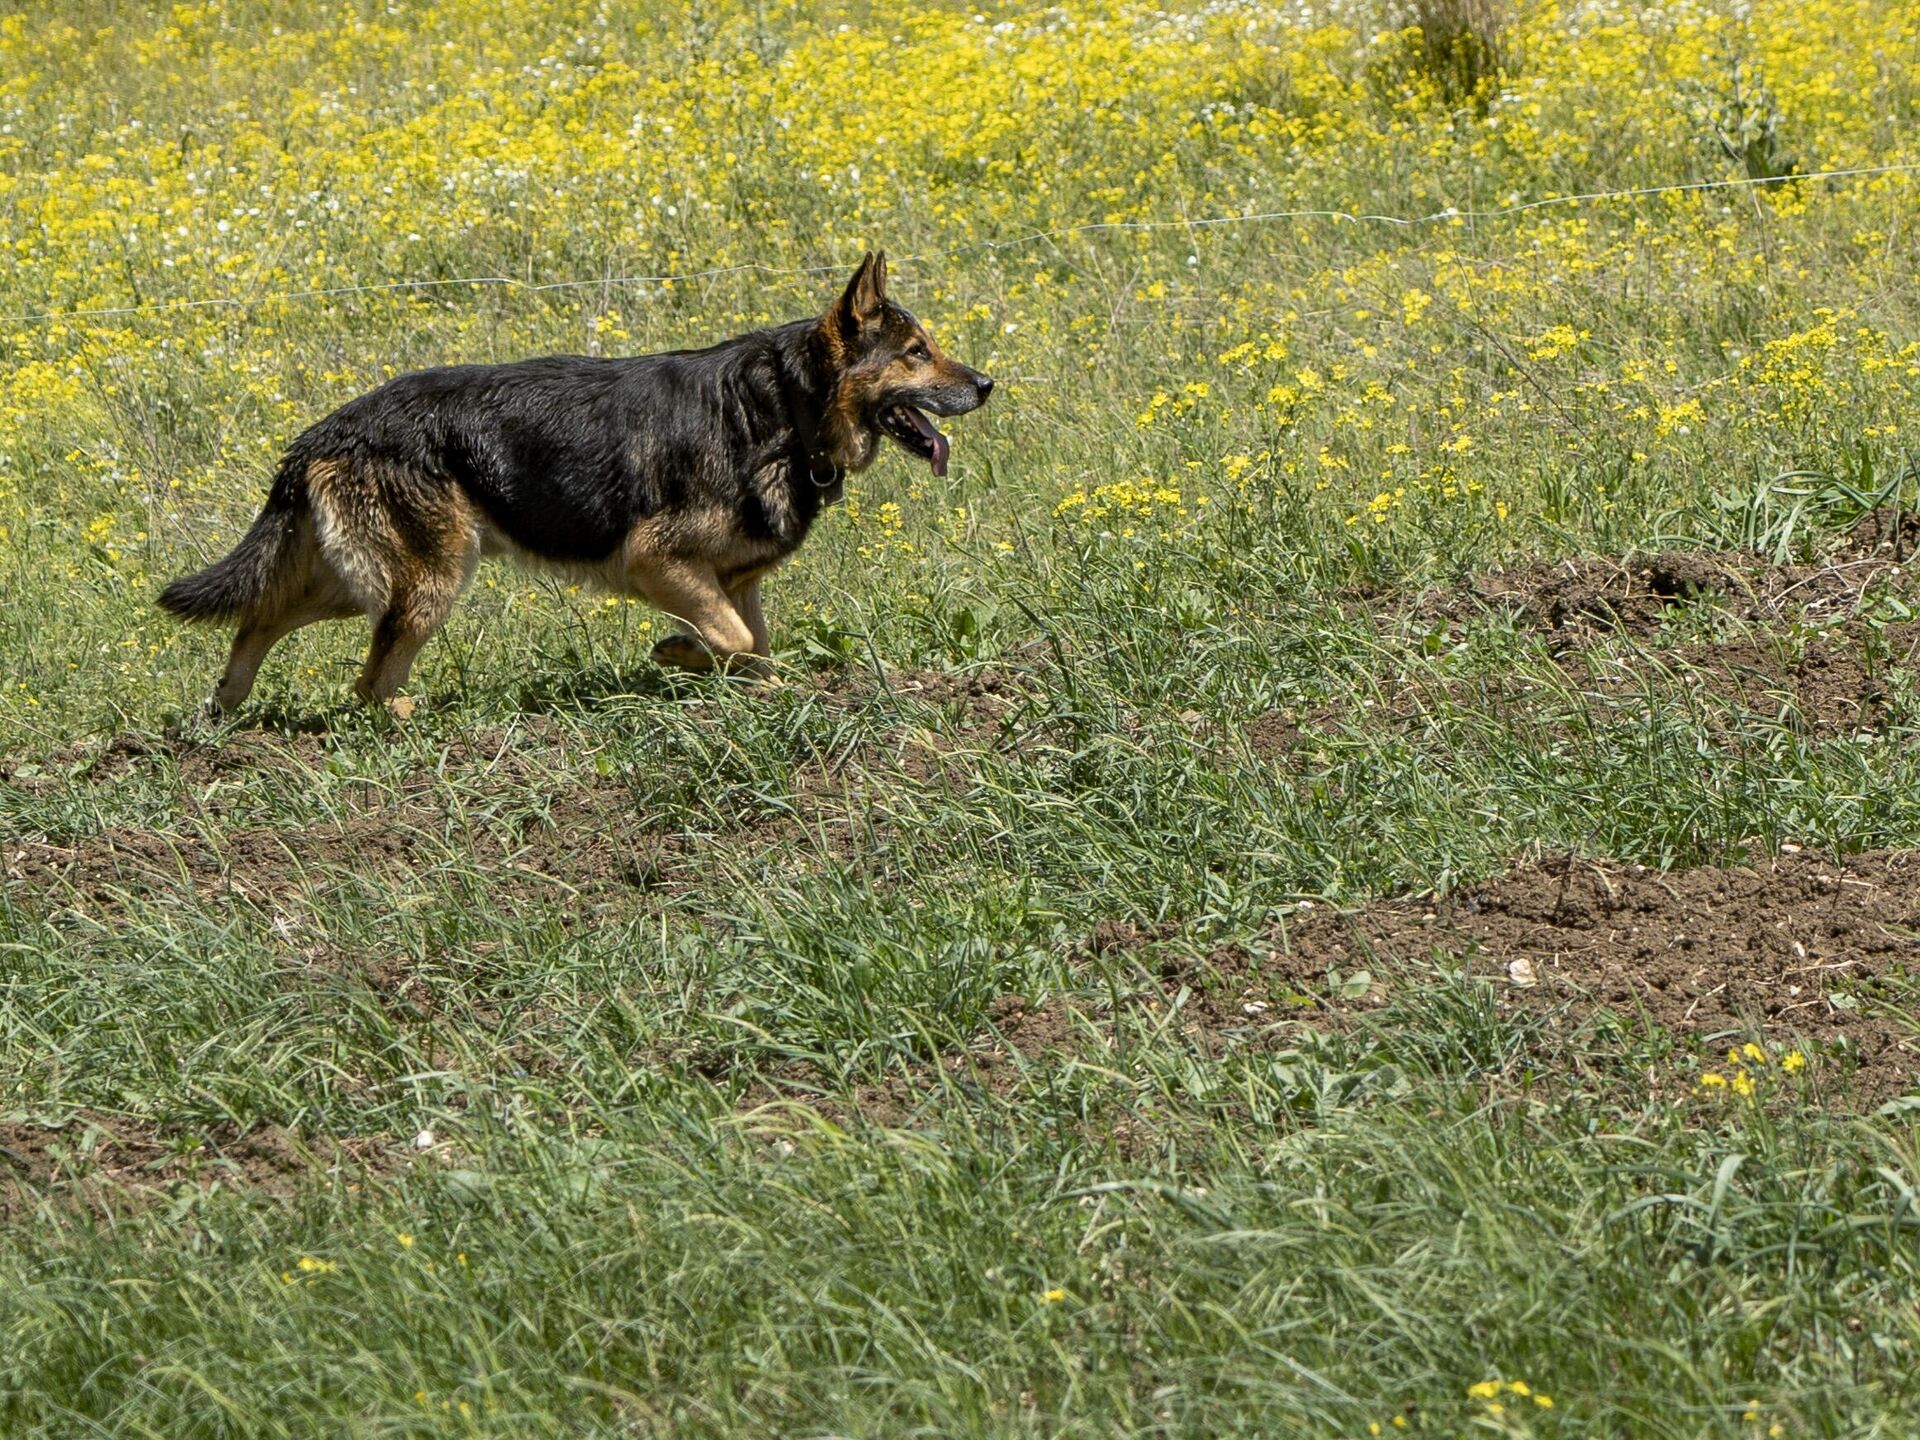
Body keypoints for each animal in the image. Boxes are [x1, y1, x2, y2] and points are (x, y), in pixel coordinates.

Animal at [157, 257, 990, 718]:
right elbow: (730, 640)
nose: (986, 385)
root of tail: (322, 432)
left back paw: (223, 711)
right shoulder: (658, 561)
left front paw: (760, 690)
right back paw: (414, 720)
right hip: (427, 578)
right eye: (917, 353)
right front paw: (679, 654)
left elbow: (755, 648)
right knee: (366, 683)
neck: (789, 406)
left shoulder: (732, 581)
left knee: (261, 620)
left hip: (360, 578)